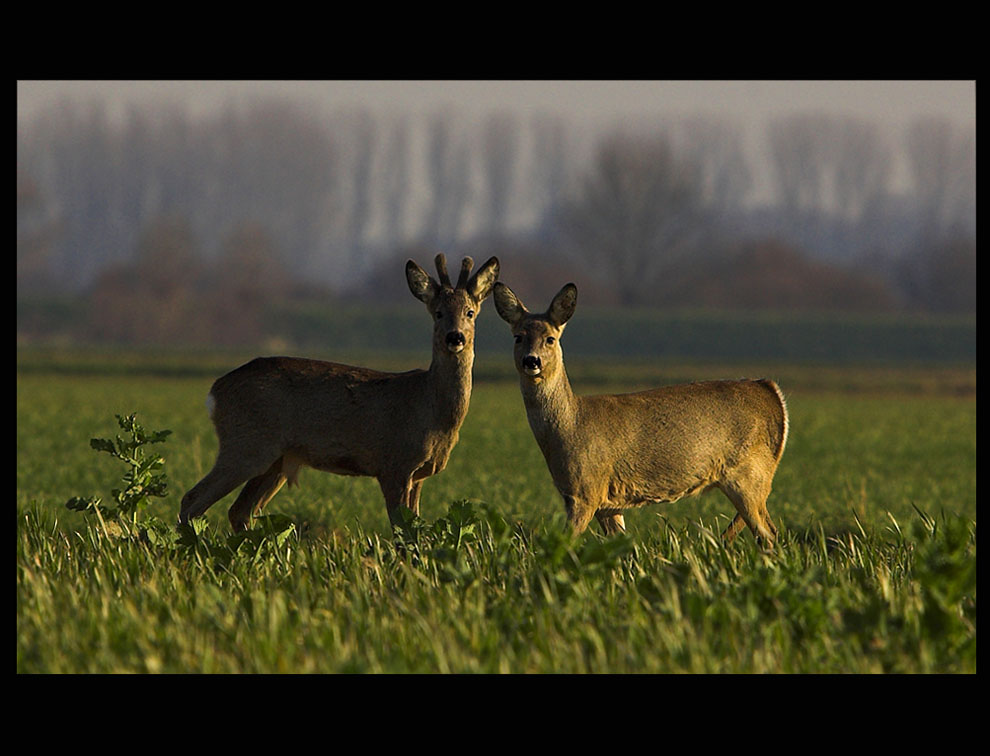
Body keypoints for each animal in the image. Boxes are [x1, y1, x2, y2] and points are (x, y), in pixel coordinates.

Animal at [177, 254, 500, 532]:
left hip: (275, 460)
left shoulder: (419, 475)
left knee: (239, 510)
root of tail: (215, 392)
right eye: (438, 312)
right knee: (193, 500)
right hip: (247, 445)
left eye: (470, 312)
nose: (455, 337)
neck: (431, 409)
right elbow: (402, 531)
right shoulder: (394, 464)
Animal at [496, 282, 792, 544]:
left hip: (749, 474)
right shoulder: (607, 502)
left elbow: (566, 542)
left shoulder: (586, 490)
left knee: (769, 534)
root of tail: (771, 390)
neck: (569, 427)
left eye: (550, 338)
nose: (531, 361)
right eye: (518, 337)